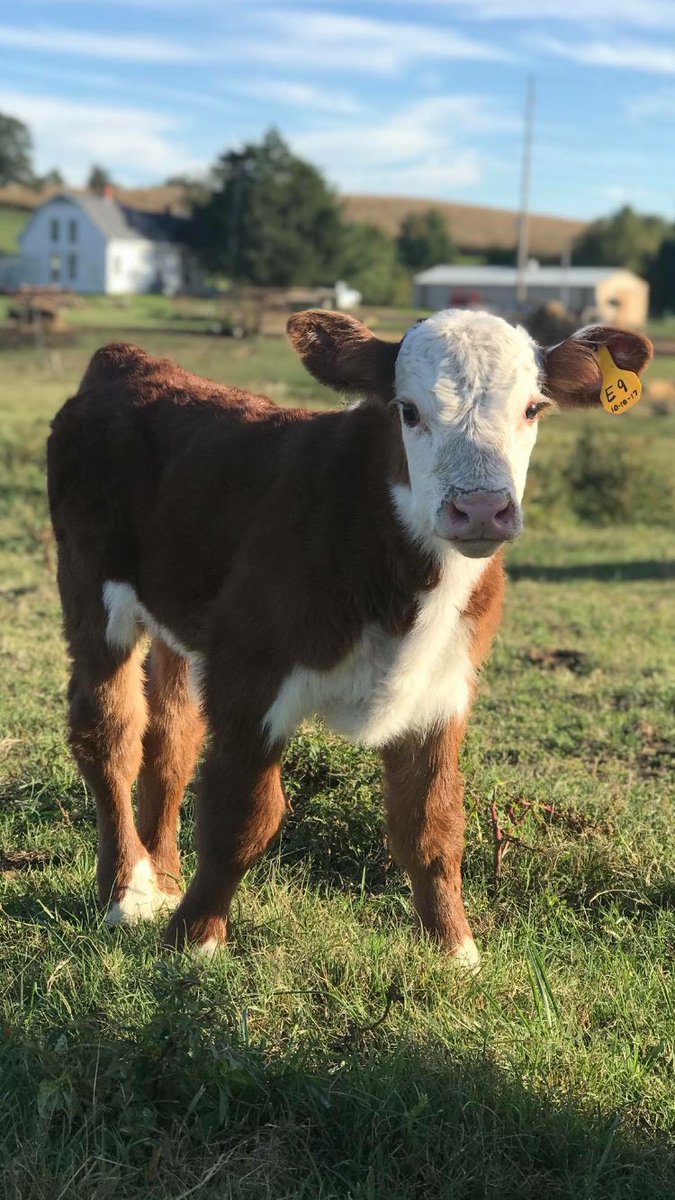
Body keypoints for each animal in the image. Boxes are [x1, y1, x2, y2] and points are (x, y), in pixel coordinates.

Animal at [46, 309, 652, 967]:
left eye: (533, 408)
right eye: (408, 410)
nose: (481, 509)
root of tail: (129, 358)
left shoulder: (445, 686)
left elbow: (431, 824)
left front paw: (454, 949)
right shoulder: (249, 671)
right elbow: (242, 817)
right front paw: (195, 939)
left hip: (176, 618)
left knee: (171, 737)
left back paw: (163, 878)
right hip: (90, 588)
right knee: (109, 734)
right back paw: (127, 891)